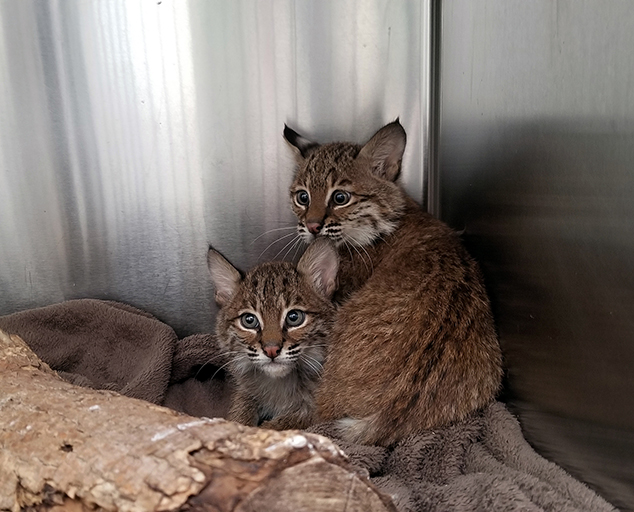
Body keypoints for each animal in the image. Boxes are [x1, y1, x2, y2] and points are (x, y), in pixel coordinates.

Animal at [206, 238, 336, 430]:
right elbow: (241, 408)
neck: (279, 381)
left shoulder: (317, 409)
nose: (271, 350)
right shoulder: (246, 388)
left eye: (294, 317)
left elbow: (282, 424)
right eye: (249, 320)